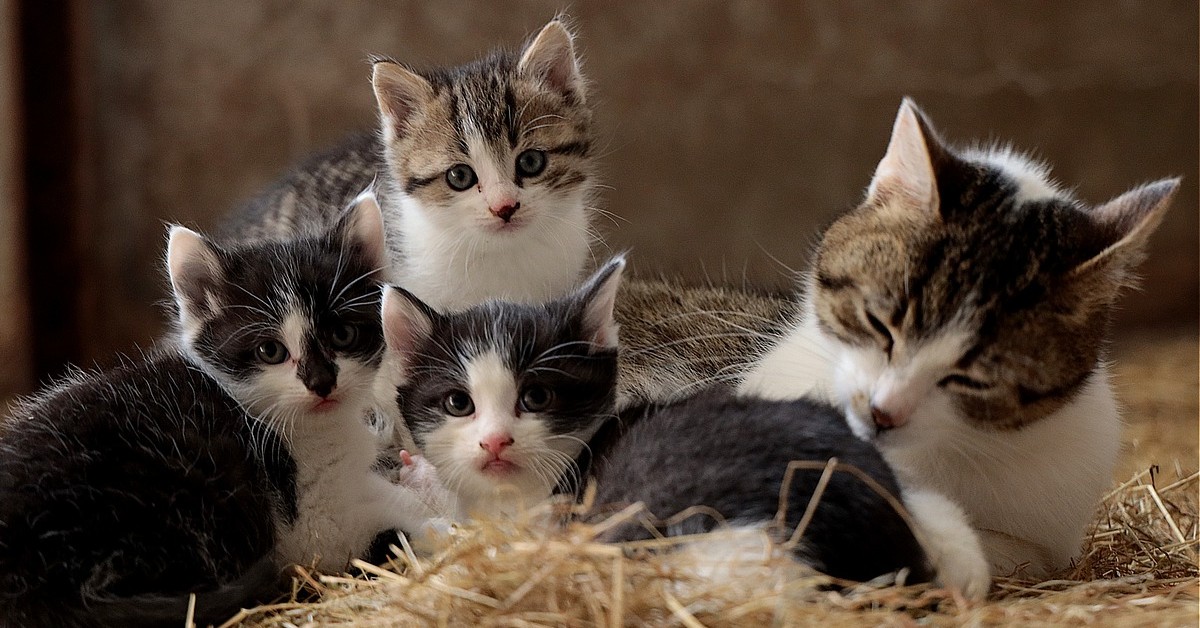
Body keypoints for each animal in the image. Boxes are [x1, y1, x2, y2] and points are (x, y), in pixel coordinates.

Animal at [0, 194, 441, 624]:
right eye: (270, 351)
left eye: (343, 334)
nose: (321, 383)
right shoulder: (310, 528)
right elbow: (378, 525)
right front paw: (435, 524)